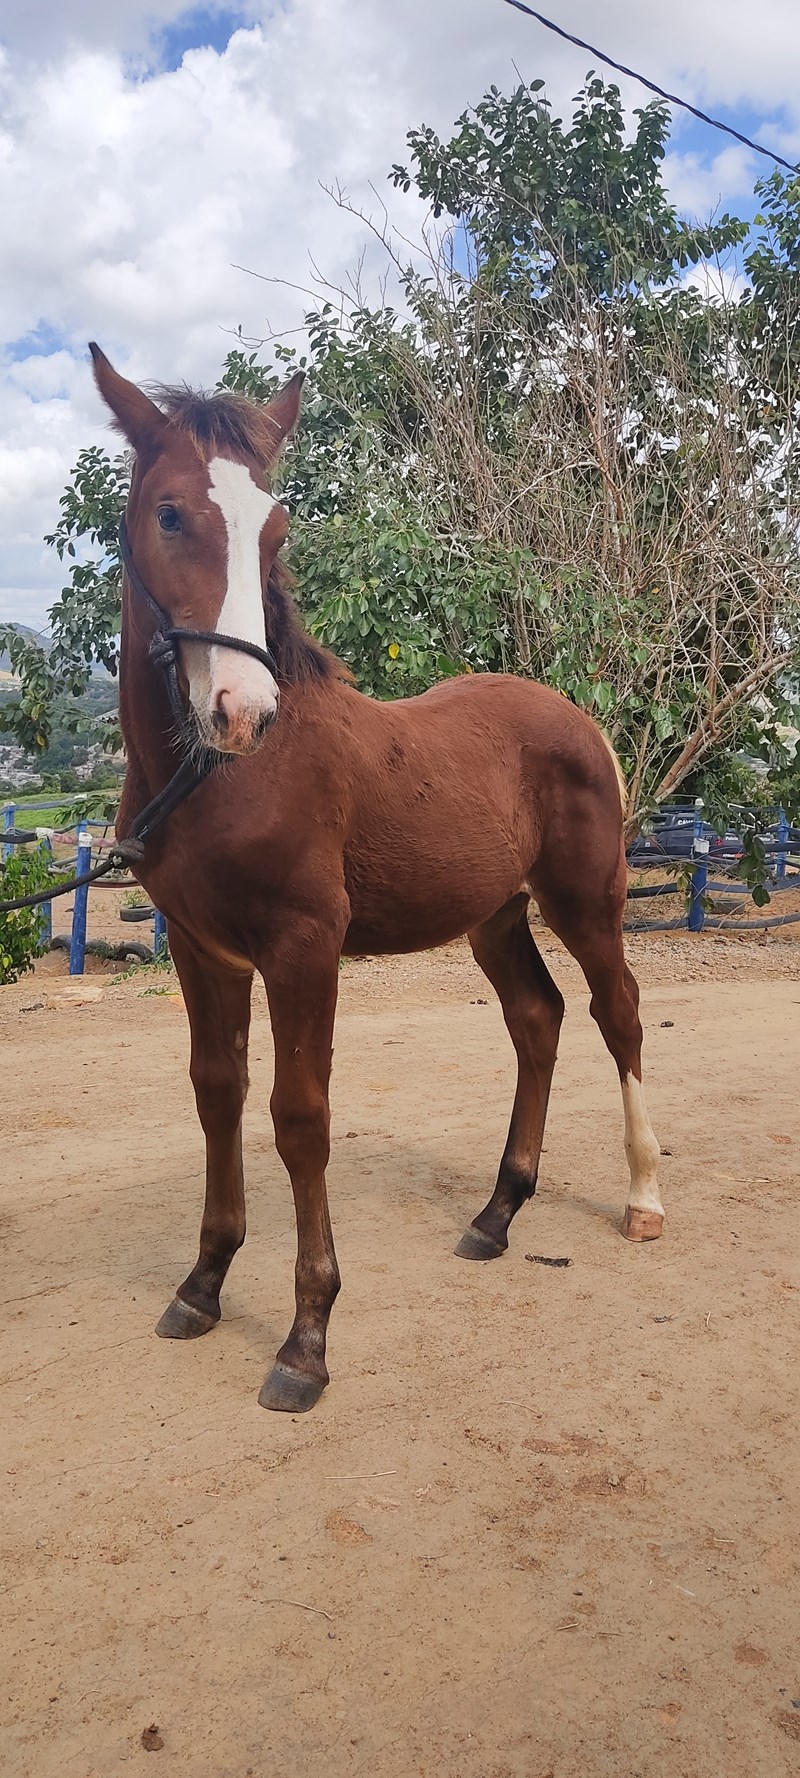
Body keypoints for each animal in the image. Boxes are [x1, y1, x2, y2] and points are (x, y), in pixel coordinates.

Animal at [88, 339, 661, 1408]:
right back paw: (497, 1213)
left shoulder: (304, 947)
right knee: (538, 1019)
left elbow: (299, 1117)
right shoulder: (201, 951)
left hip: (586, 904)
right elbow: (216, 1095)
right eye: (170, 512)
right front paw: (203, 1284)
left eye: (275, 525)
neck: (221, 774)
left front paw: (306, 1339)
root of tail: (575, 714)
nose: (243, 710)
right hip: (495, 916)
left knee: (619, 1015)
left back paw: (645, 1195)